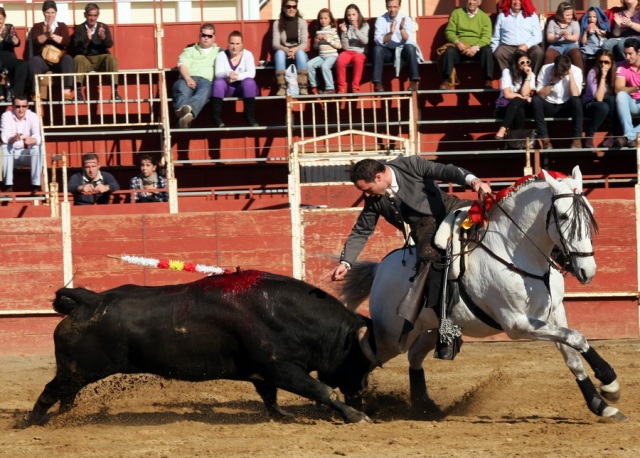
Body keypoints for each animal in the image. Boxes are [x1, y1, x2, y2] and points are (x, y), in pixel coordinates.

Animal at [25, 270, 378, 424]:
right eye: (361, 360)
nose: (362, 393)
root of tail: (89, 300)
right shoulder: (281, 367)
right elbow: (322, 390)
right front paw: (356, 416)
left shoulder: (265, 373)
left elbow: (271, 398)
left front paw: (283, 416)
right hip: (78, 369)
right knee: (51, 391)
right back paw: (33, 422)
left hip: (78, 371)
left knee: (65, 394)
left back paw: (65, 416)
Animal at [342, 166, 628, 420]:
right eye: (564, 217)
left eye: (590, 213)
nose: (587, 270)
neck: (517, 251)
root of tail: (380, 268)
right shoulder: (517, 324)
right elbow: (577, 338)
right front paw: (609, 380)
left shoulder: (555, 312)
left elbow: (572, 351)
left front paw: (602, 404)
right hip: (392, 335)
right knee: (369, 351)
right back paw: (354, 400)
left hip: (429, 328)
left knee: (413, 355)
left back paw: (424, 405)